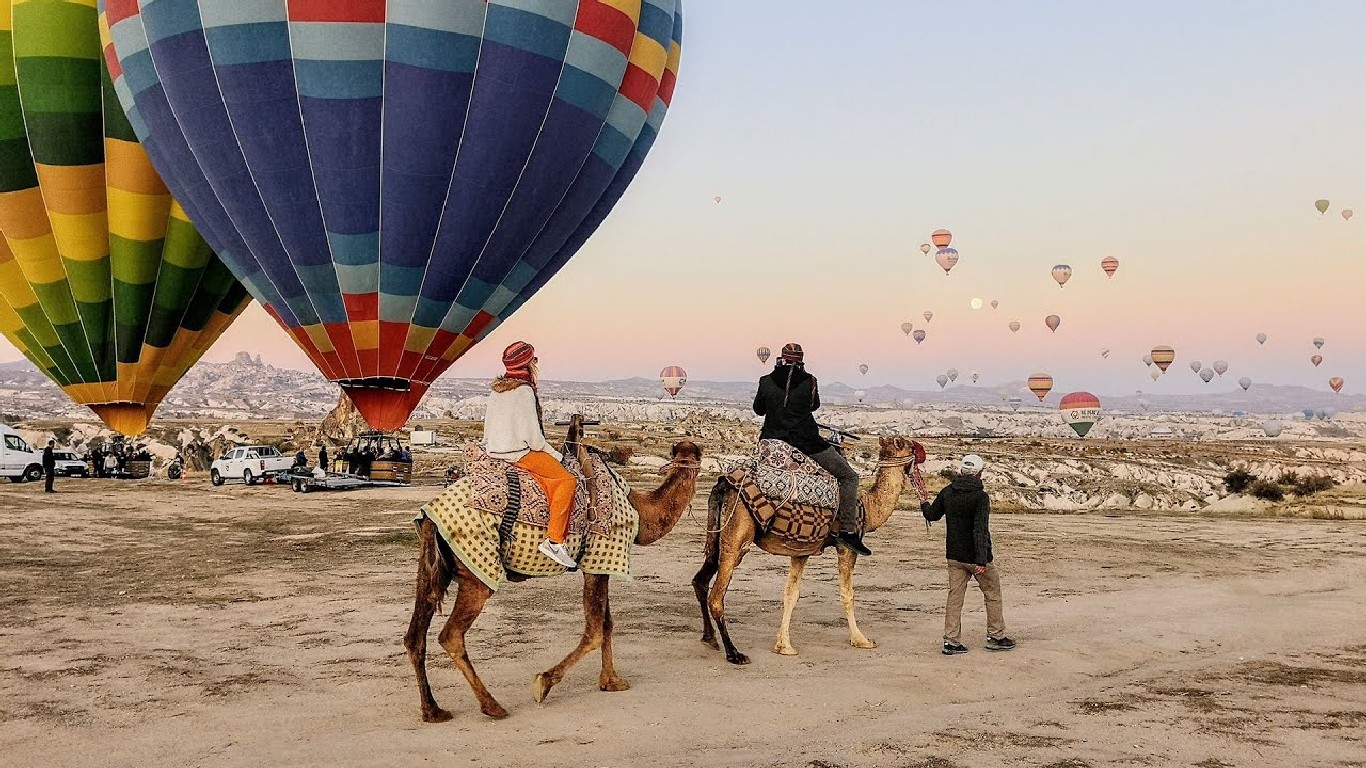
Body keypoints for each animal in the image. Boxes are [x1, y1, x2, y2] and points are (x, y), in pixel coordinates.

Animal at [404, 415, 702, 722]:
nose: (689, 457)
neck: (639, 510)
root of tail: (430, 515)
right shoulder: (600, 558)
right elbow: (595, 630)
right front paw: (543, 683)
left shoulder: (601, 564)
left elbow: (607, 624)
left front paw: (611, 681)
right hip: (477, 570)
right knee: (451, 635)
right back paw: (492, 706)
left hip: (432, 567)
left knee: (415, 634)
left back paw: (433, 710)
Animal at [692, 435, 923, 665]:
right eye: (908, 444)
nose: (921, 452)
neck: (867, 506)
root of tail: (724, 485)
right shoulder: (846, 546)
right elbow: (847, 594)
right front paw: (862, 640)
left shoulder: (801, 549)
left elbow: (791, 593)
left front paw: (784, 645)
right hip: (737, 537)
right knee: (716, 596)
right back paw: (734, 653)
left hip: (717, 536)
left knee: (700, 580)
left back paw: (709, 638)